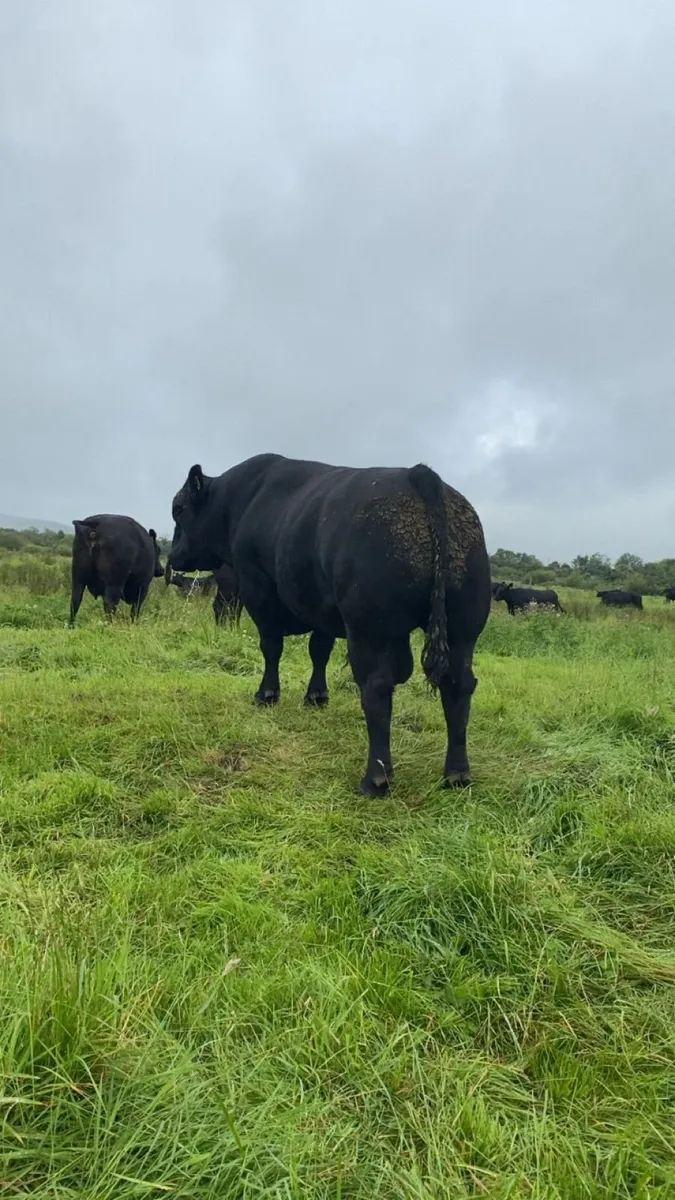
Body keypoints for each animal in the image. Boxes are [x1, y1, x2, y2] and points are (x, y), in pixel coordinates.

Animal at [169, 454, 491, 797]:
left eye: (179, 509)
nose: (173, 556)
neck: (242, 502)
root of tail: (418, 475)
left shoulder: (259, 592)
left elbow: (271, 647)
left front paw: (267, 695)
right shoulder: (320, 606)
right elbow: (319, 650)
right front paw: (316, 696)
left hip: (369, 630)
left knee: (377, 688)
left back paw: (376, 778)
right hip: (463, 629)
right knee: (458, 685)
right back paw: (457, 774)